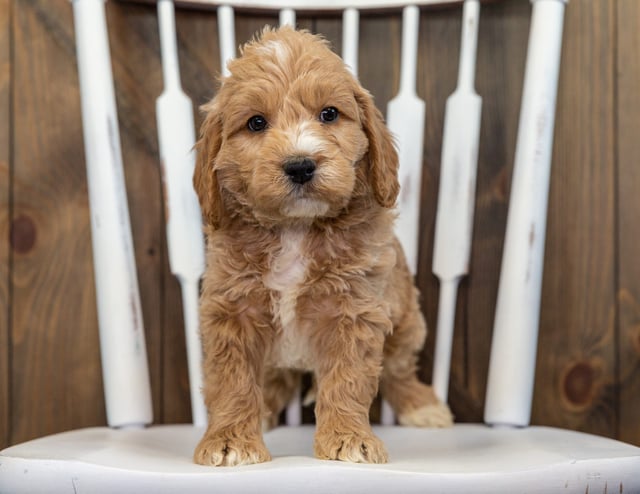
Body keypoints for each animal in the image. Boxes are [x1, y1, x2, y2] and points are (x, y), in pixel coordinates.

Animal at [192, 27, 452, 466]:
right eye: (256, 123)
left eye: (329, 114)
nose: (300, 165)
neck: (295, 228)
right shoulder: (231, 310)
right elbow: (232, 380)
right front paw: (229, 440)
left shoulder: (354, 309)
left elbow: (348, 378)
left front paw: (349, 438)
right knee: (275, 378)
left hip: (407, 320)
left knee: (399, 369)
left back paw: (422, 405)